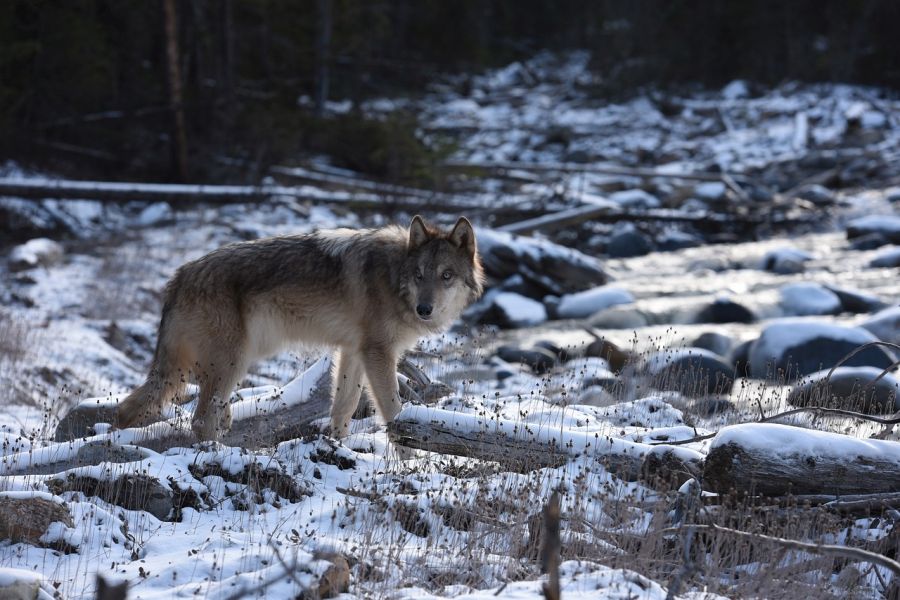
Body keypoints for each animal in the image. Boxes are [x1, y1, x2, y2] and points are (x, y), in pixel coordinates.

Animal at [119, 216, 488, 440]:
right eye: (420, 275)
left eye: (446, 276)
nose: (424, 309)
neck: (394, 276)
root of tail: (179, 276)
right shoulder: (379, 354)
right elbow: (394, 411)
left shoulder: (353, 351)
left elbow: (343, 407)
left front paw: (336, 446)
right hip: (232, 363)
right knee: (200, 419)